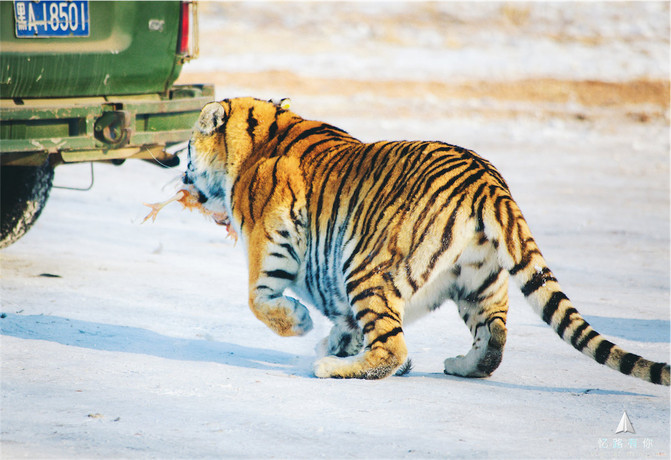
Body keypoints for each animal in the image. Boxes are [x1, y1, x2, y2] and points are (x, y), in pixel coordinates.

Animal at [181, 97, 668, 384]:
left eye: (187, 150)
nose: (180, 173)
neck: (261, 135)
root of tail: (487, 180)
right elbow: (344, 324)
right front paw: (334, 341)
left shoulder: (270, 247)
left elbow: (259, 300)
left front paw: (303, 327)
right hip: (480, 283)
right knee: (494, 336)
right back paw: (460, 365)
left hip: (366, 268)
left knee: (391, 348)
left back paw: (331, 368)